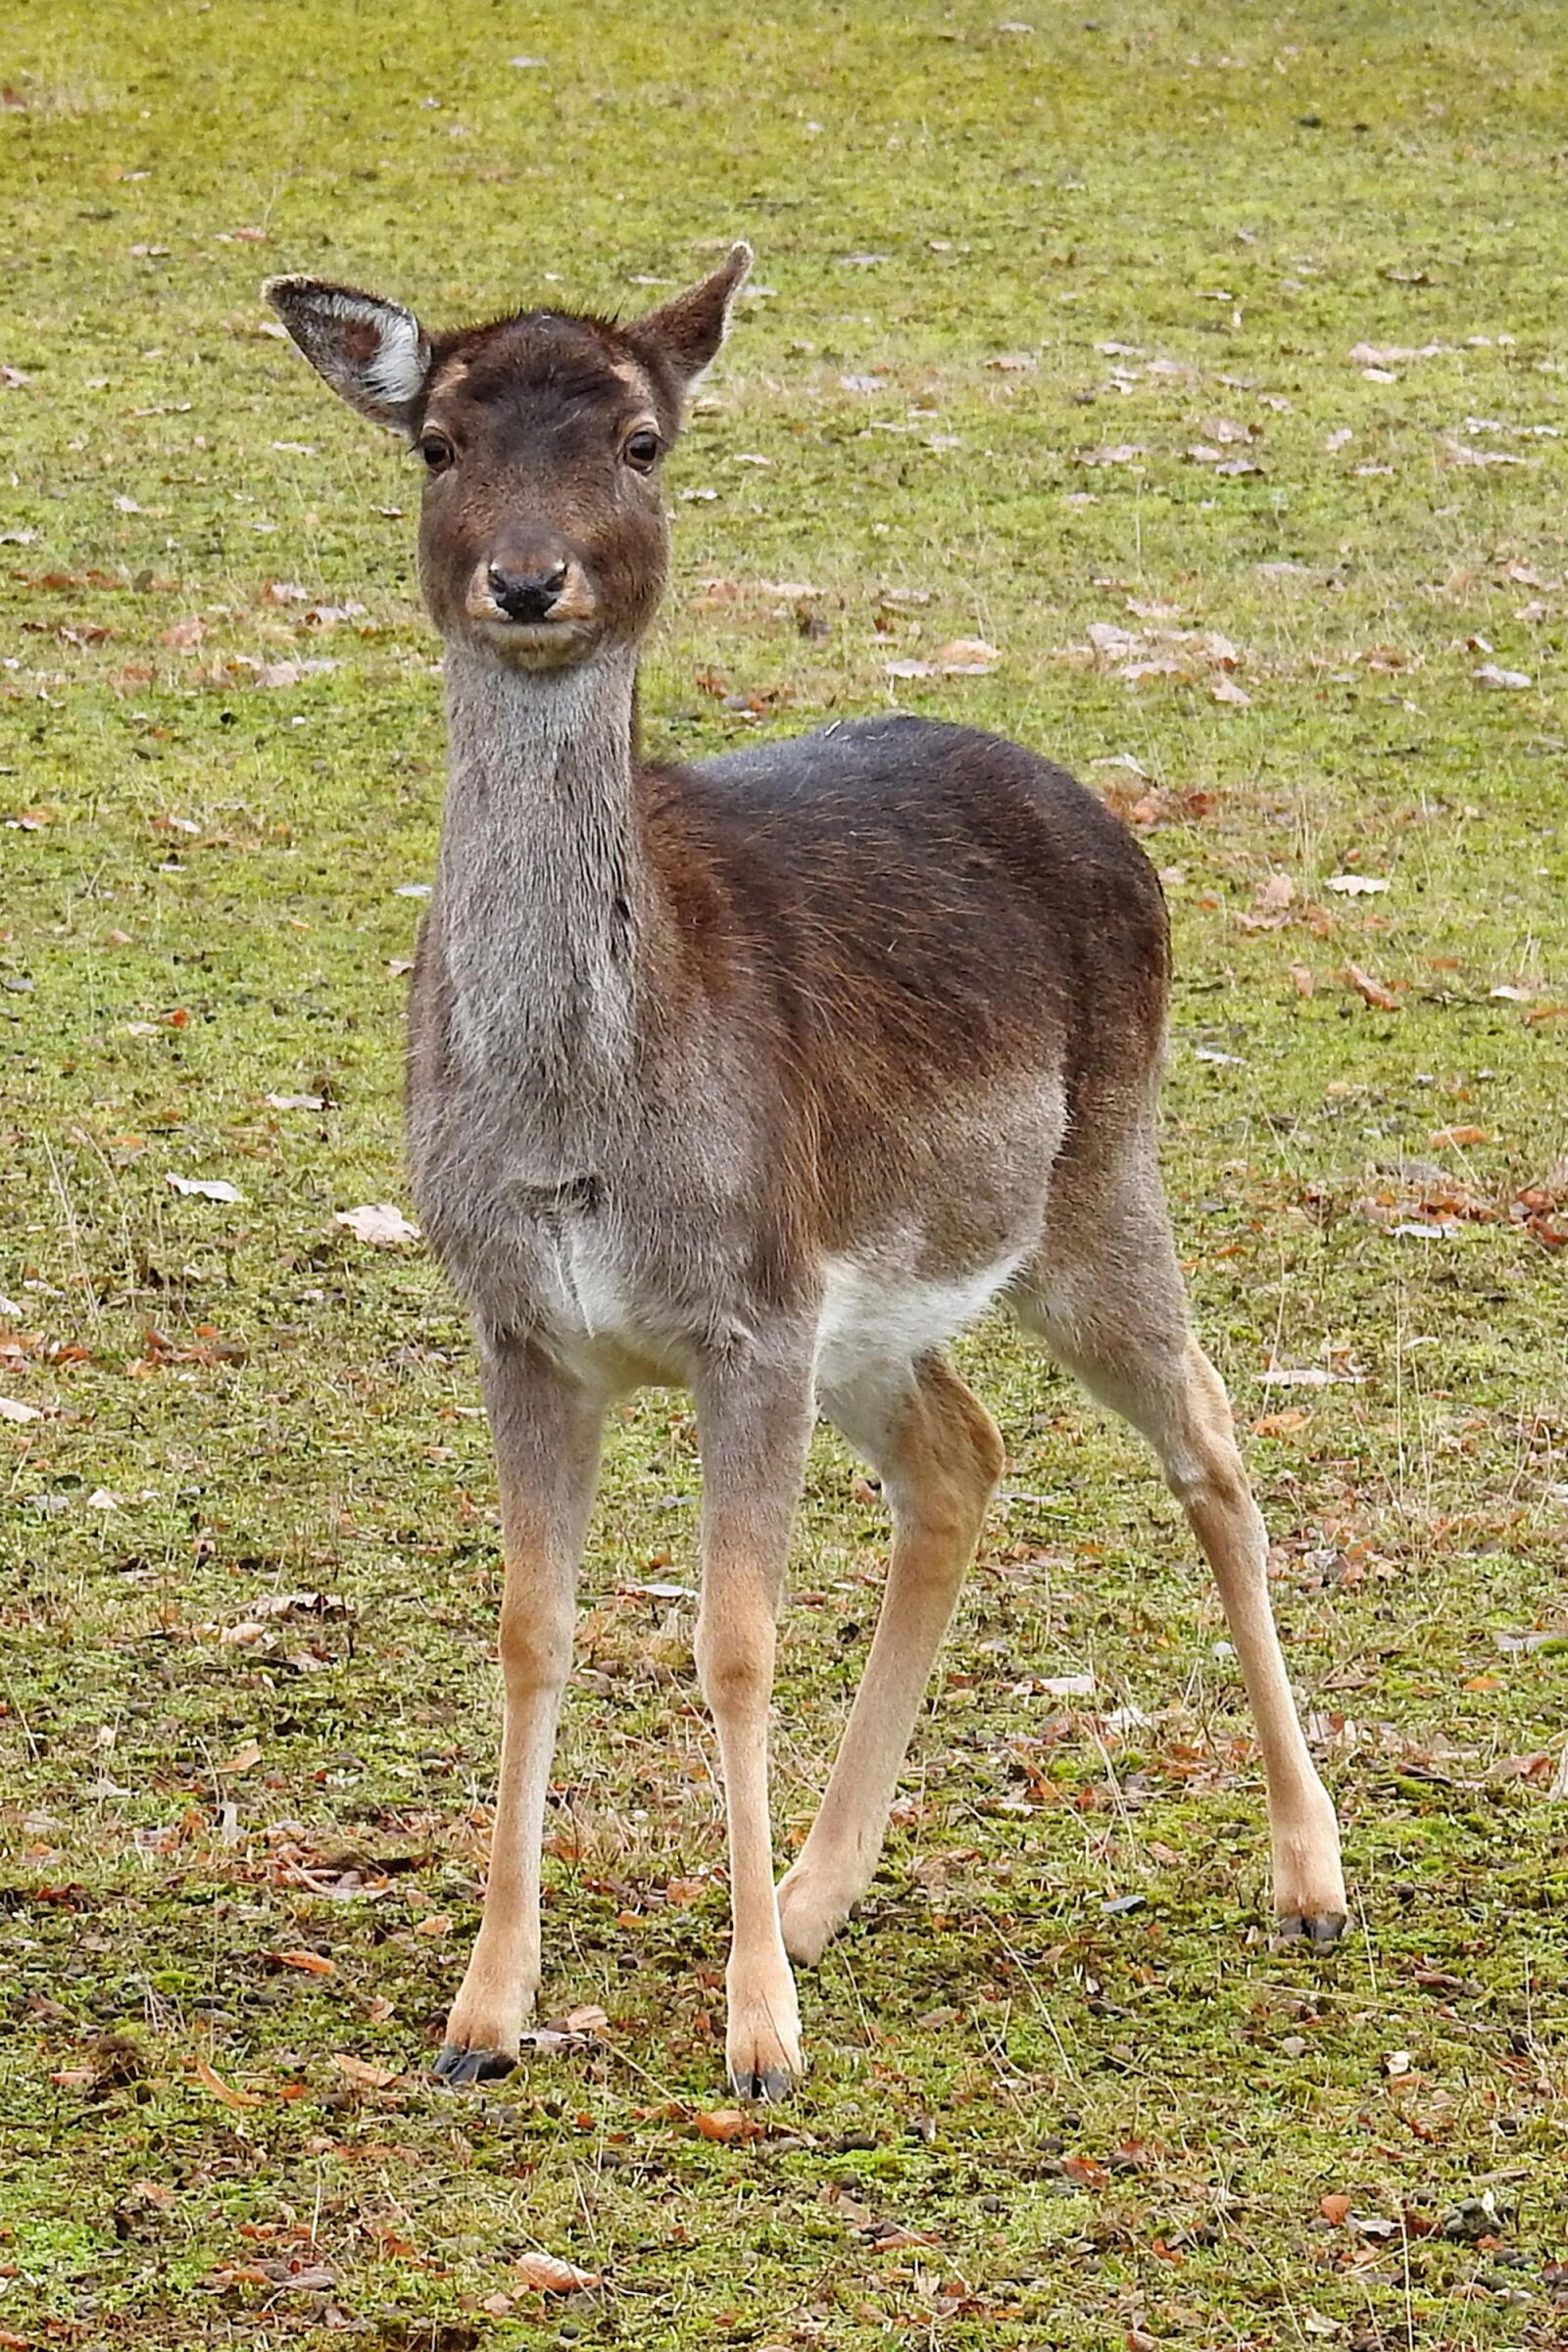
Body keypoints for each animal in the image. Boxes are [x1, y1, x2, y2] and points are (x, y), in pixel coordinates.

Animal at [264, 244, 1347, 2099]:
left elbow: (734, 1638)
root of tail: (1105, 814)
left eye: (640, 439)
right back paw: (822, 1890)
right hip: (875, 1307)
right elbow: (532, 1629)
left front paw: (756, 2037)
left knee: (1211, 1437)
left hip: (1094, 1181)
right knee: (962, 1456)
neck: (580, 1128)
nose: (528, 579)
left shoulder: (748, 1312)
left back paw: (1310, 1877)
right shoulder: (521, 1321)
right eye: (437, 442)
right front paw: (482, 2018)